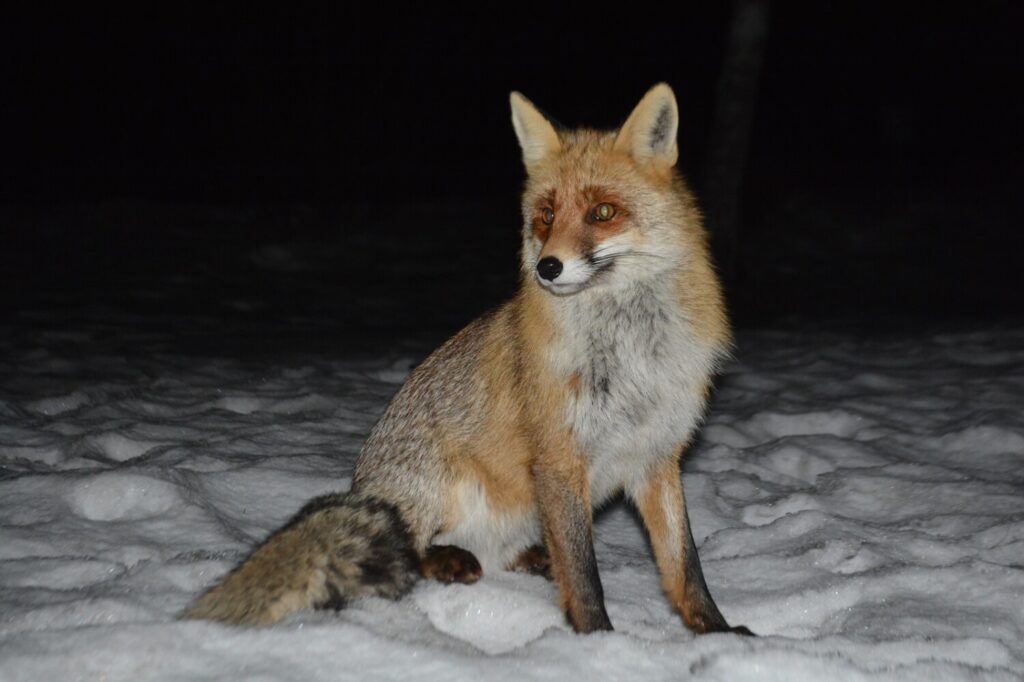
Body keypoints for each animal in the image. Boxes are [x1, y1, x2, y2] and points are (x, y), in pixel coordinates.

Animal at [182, 83, 753, 630]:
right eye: (546, 217)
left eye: (604, 212)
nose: (547, 268)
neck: (633, 352)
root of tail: (361, 485)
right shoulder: (560, 459)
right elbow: (585, 575)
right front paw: (598, 641)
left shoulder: (657, 456)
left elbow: (685, 568)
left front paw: (718, 633)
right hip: (443, 488)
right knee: (405, 549)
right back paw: (447, 560)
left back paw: (526, 558)